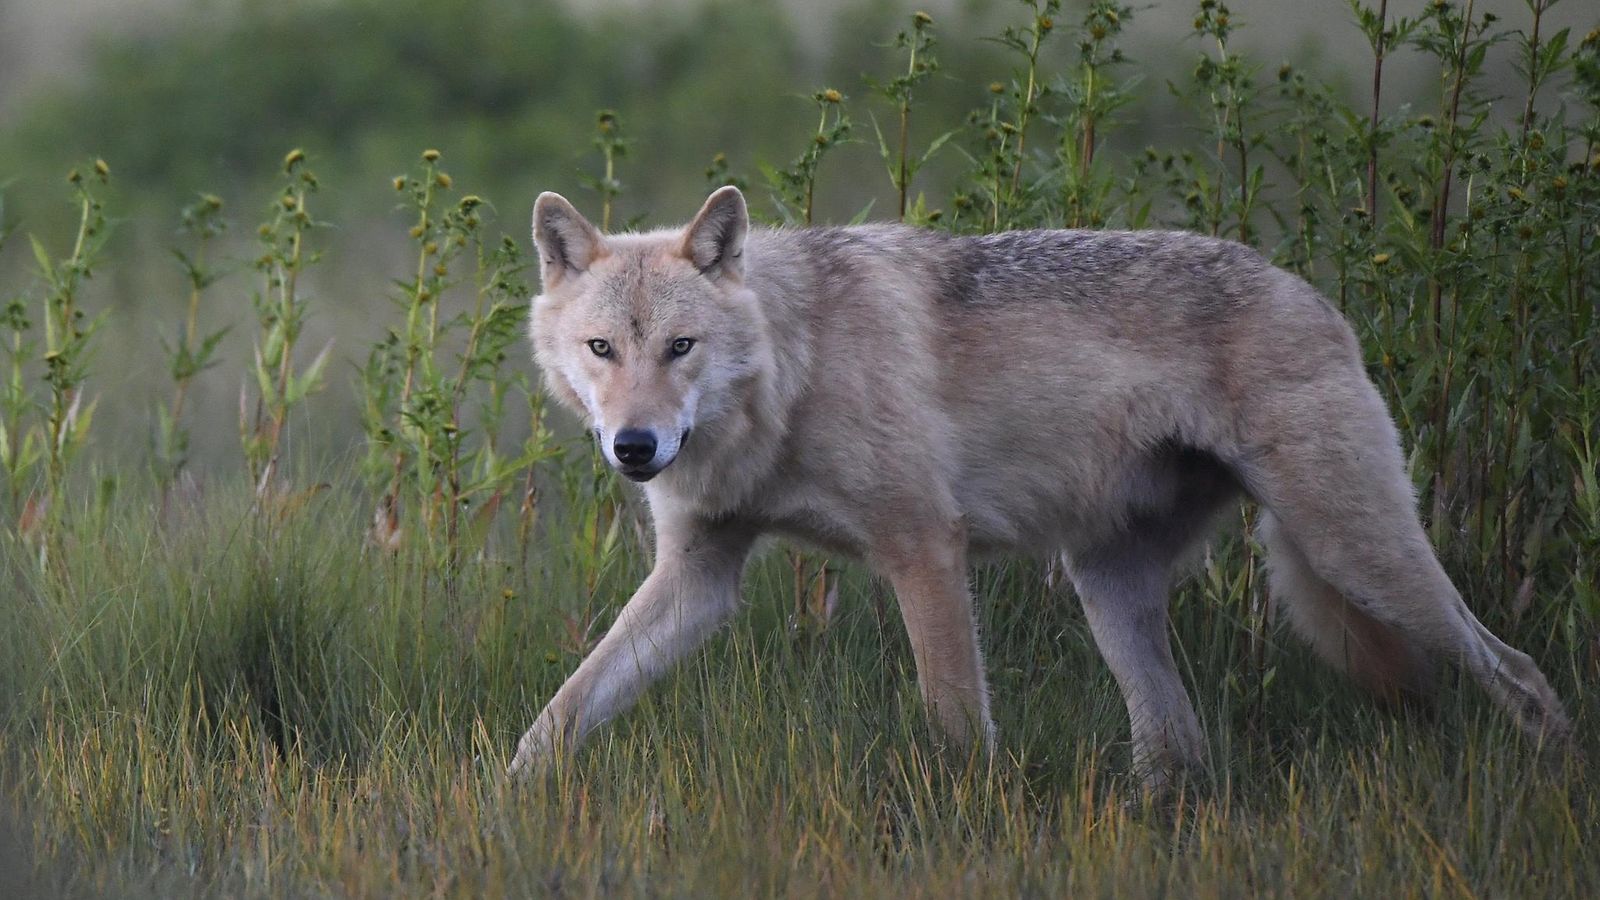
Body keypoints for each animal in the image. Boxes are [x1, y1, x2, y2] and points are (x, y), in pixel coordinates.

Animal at [515, 185, 1574, 787]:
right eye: (602, 350)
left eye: (680, 348)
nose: (636, 447)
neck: (792, 370)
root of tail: (1312, 292)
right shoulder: (699, 576)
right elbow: (561, 711)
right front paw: (505, 804)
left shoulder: (924, 551)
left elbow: (955, 722)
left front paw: (967, 821)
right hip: (1113, 592)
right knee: (1179, 746)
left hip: (1358, 555)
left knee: (1521, 672)